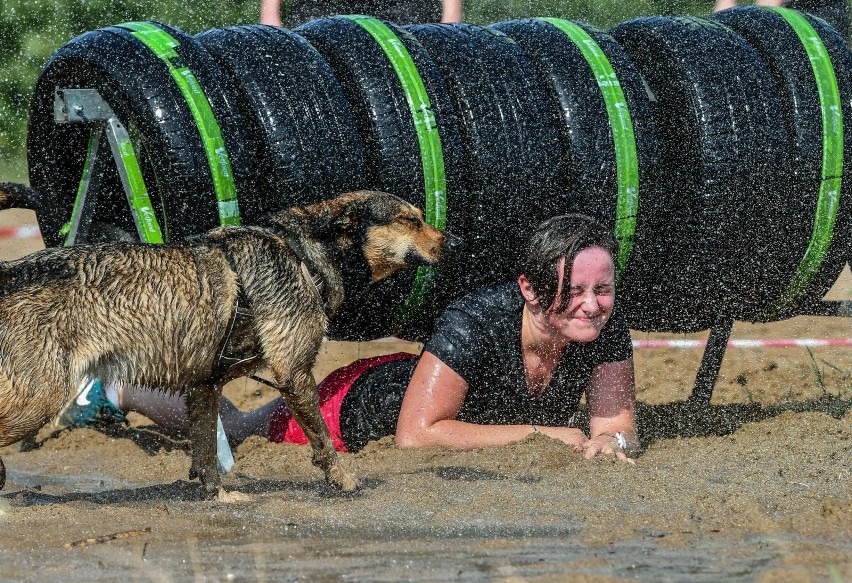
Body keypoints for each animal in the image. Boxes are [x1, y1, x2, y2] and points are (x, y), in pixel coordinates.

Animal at [0, 186, 446, 498]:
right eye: (408, 220)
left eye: (421, 217)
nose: (453, 242)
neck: (303, 251)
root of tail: (11, 271)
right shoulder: (294, 374)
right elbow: (322, 439)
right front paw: (343, 479)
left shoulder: (204, 386)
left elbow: (205, 454)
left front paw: (217, 495)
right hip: (38, 397)